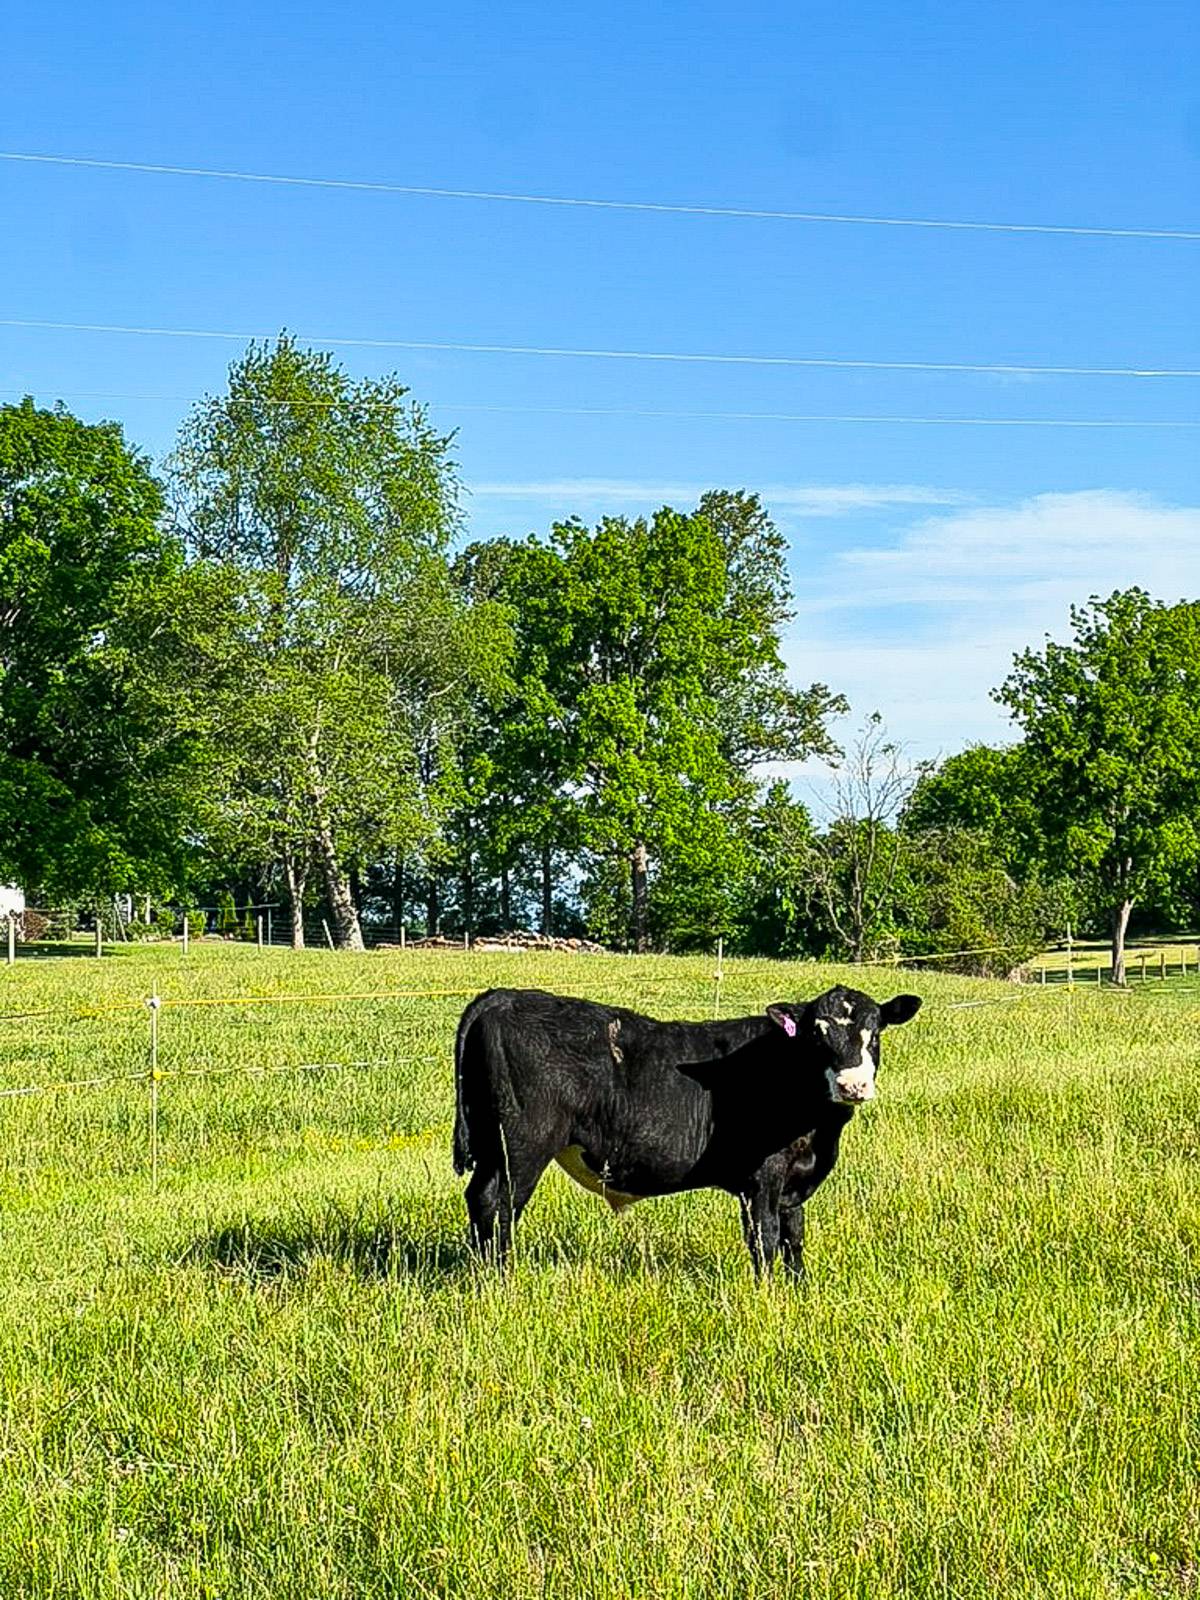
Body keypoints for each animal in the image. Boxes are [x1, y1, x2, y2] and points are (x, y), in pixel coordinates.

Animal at [452, 983, 921, 1275]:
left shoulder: (793, 1182)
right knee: (500, 1206)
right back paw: (502, 1277)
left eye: (874, 1032)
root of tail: (502, 997)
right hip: (522, 1147)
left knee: (479, 1199)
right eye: (816, 1036)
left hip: (492, 1145)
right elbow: (766, 1239)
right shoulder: (762, 1177)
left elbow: (794, 1239)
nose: (852, 1085)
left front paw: (798, 1290)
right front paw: (769, 1295)